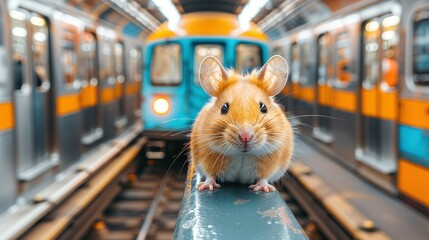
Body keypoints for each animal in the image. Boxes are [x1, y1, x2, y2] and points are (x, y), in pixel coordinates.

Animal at [191, 55, 294, 192]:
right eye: (224, 108)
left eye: (263, 107)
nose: (246, 137)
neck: (242, 154)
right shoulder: (206, 156)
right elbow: (210, 175)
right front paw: (204, 187)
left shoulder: (272, 160)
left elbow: (264, 177)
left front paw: (264, 188)